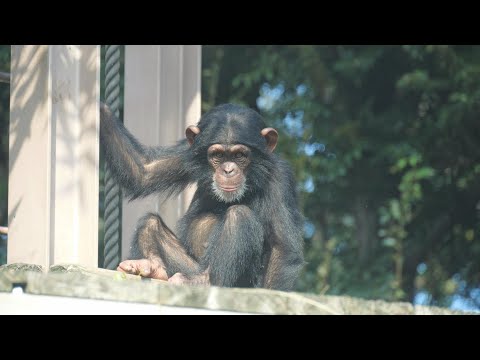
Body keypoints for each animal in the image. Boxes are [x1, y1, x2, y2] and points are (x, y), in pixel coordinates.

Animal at [100, 102, 304, 292]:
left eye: (239, 155)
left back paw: (203, 281)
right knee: (149, 224)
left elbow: (283, 250)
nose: (228, 170)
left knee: (239, 215)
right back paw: (153, 267)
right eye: (217, 155)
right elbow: (143, 170)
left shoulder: (280, 176)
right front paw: (99, 109)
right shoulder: (189, 150)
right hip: (187, 268)